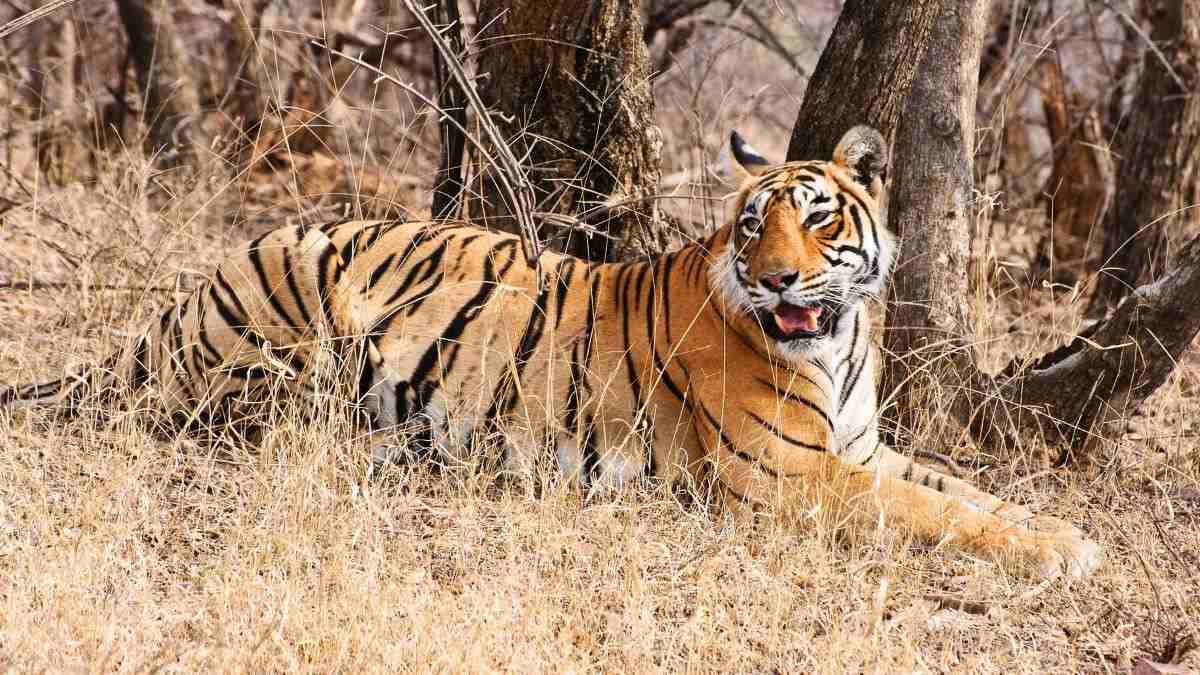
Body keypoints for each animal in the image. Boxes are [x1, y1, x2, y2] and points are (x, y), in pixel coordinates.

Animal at [1, 126, 1101, 579]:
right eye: (753, 228)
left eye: (818, 219)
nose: (781, 281)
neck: (840, 340)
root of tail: (187, 296)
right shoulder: (789, 474)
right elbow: (936, 514)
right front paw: (1059, 553)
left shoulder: (862, 448)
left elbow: (970, 494)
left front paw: (1067, 534)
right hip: (283, 321)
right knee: (228, 423)